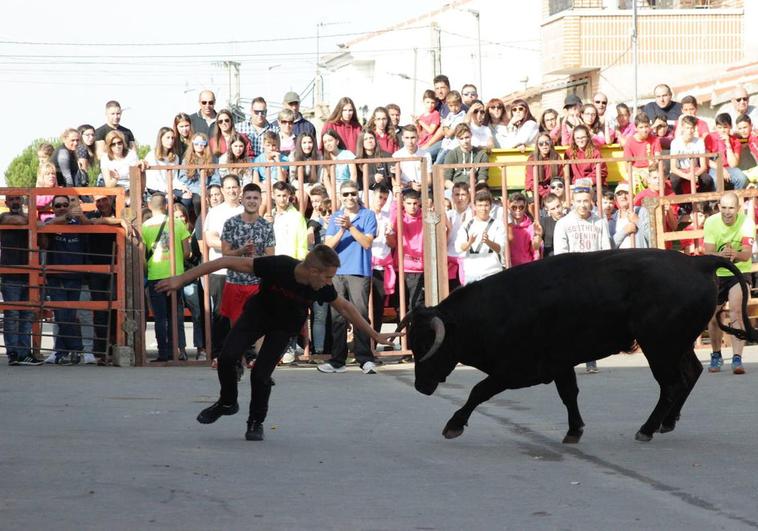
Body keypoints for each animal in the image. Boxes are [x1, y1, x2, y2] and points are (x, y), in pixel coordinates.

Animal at [400, 249, 756, 444]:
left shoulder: (514, 371)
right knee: (690, 374)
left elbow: (478, 391)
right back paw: (668, 422)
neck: (495, 310)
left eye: (427, 344)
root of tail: (699, 263)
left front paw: (453, 425)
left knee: (671, 384)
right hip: (676, 344)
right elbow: (569, 393)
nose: (420, 386)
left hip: (659, 347)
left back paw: (648, 428)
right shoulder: (560, 362)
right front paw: (574, 430)